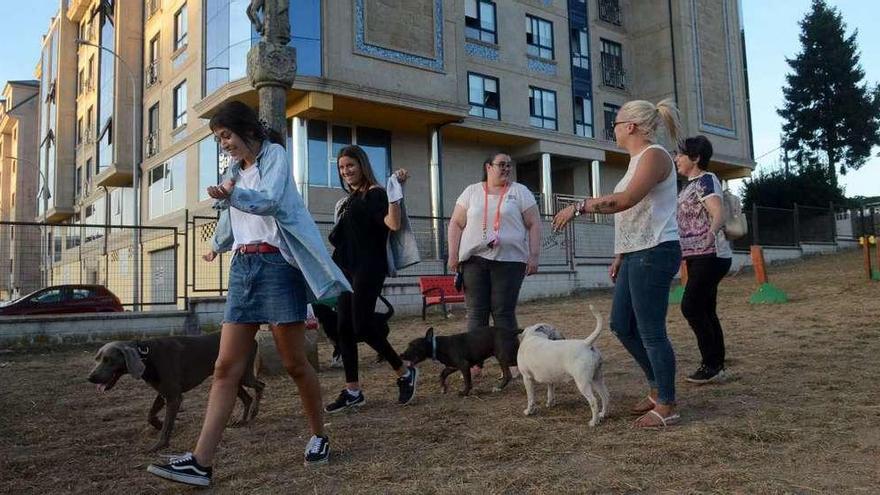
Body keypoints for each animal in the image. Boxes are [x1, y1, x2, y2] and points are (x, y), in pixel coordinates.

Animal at [87, 334, 262, 454]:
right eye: (97, 359)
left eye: (108, 359)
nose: (90, 378)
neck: (146, 355)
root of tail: (253, 339)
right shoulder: (163, 392)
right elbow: (150, 415)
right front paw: (159, 424)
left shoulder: (174, 396)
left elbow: (167, 426)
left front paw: (159, 445)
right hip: (230, 378)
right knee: (247, 397)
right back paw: (242, 420)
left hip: (244, 375)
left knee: (260, 386)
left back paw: (254, 413)